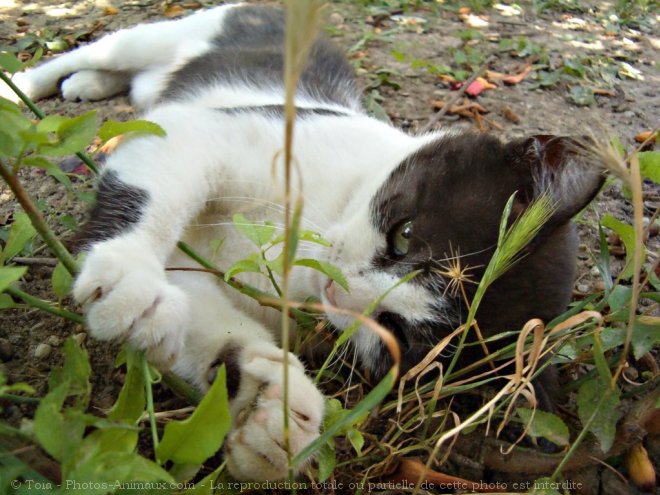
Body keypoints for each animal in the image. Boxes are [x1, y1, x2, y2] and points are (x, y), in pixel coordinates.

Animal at [3, 1, 604, 482]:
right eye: (405, 234)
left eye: (397, 335)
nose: (342, 293)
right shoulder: (215, 130)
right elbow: (161, 178)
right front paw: (131, 277)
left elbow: (209, 323)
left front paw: (268, 411)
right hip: (180, 31)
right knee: (107, 49)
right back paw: (34, 83)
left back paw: (88, 84)